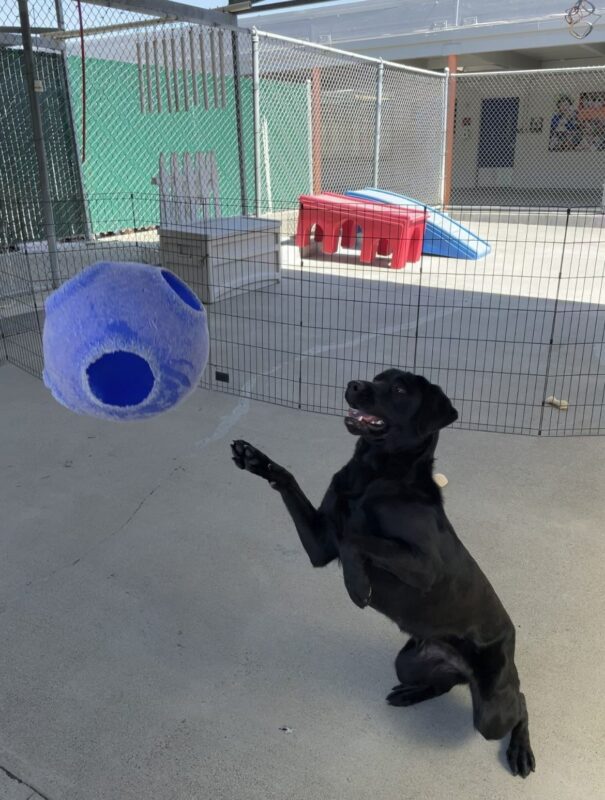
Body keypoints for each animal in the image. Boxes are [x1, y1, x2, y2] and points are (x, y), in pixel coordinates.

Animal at [230, 372, 532, 780]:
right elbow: (297, 486)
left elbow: (357, 537)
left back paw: (520, 750)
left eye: (400, 389)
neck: (374, 476)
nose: (354, 384)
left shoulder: (426, 565)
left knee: (521, 700)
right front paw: (257, 459)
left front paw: (356, 585)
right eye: (378, 378)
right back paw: (412, 694)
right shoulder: (320, 545)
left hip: (492, 711)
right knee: (444, 683)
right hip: (408, 663)